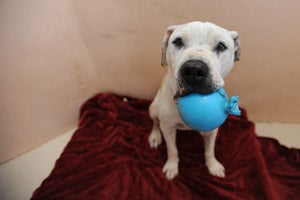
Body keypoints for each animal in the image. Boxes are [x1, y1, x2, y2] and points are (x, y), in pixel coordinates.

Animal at [149, 21, 240, 180]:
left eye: (221, 46)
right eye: (178, 41)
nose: (194, 69)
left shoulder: (213, 130)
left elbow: (210, 150)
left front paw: (213, 165)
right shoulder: (167, 128)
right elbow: (172, 149)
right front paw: (172, 166)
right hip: (153, 108)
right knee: (155, 122)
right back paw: (155, 136)